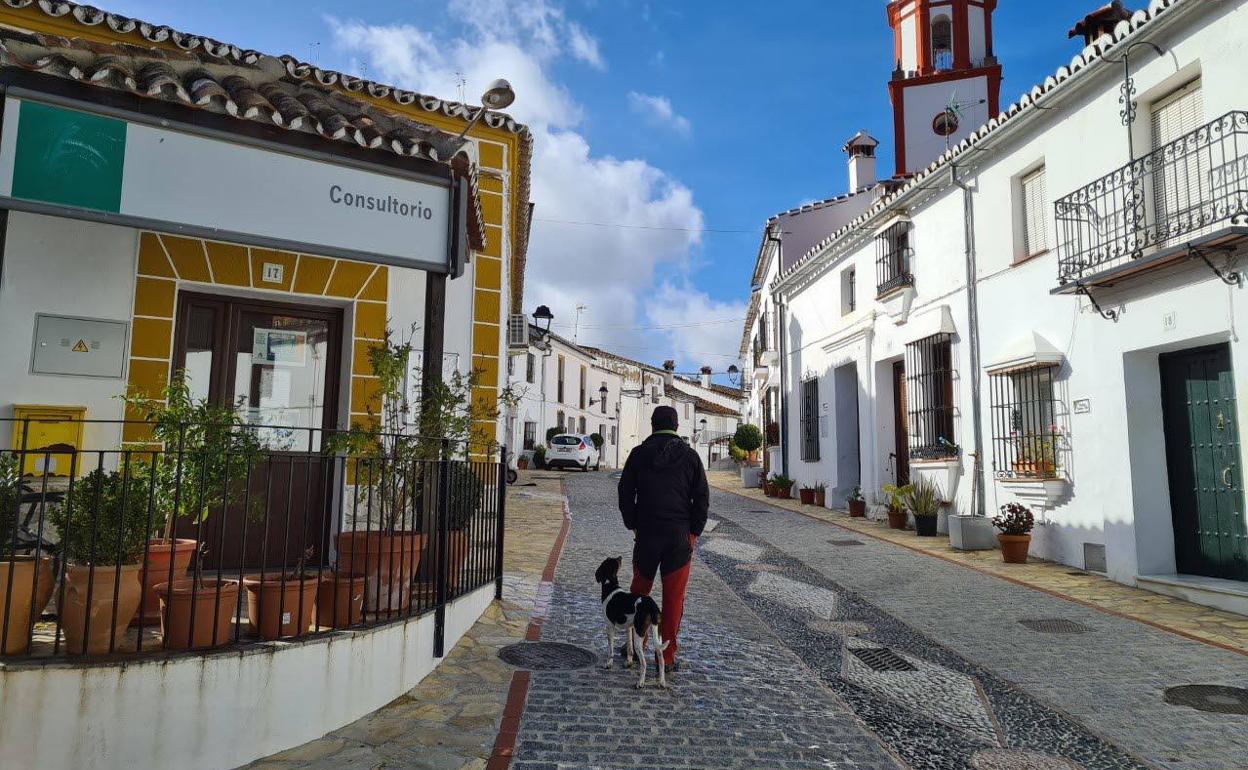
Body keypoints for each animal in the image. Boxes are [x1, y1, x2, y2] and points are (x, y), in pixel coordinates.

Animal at [596, 556, 668, 688]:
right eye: (615, 559)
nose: (620, 556)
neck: (611, 586)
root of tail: (651, 605)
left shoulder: (610, 626)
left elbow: (610, 649)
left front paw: (608, 664)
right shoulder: (629, 627)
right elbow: (629, 647)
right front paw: (628, 662)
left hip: (639, 635)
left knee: (644, 663)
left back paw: (640, 683)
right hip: (657, 632)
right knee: (661, 659)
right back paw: (661, 681)